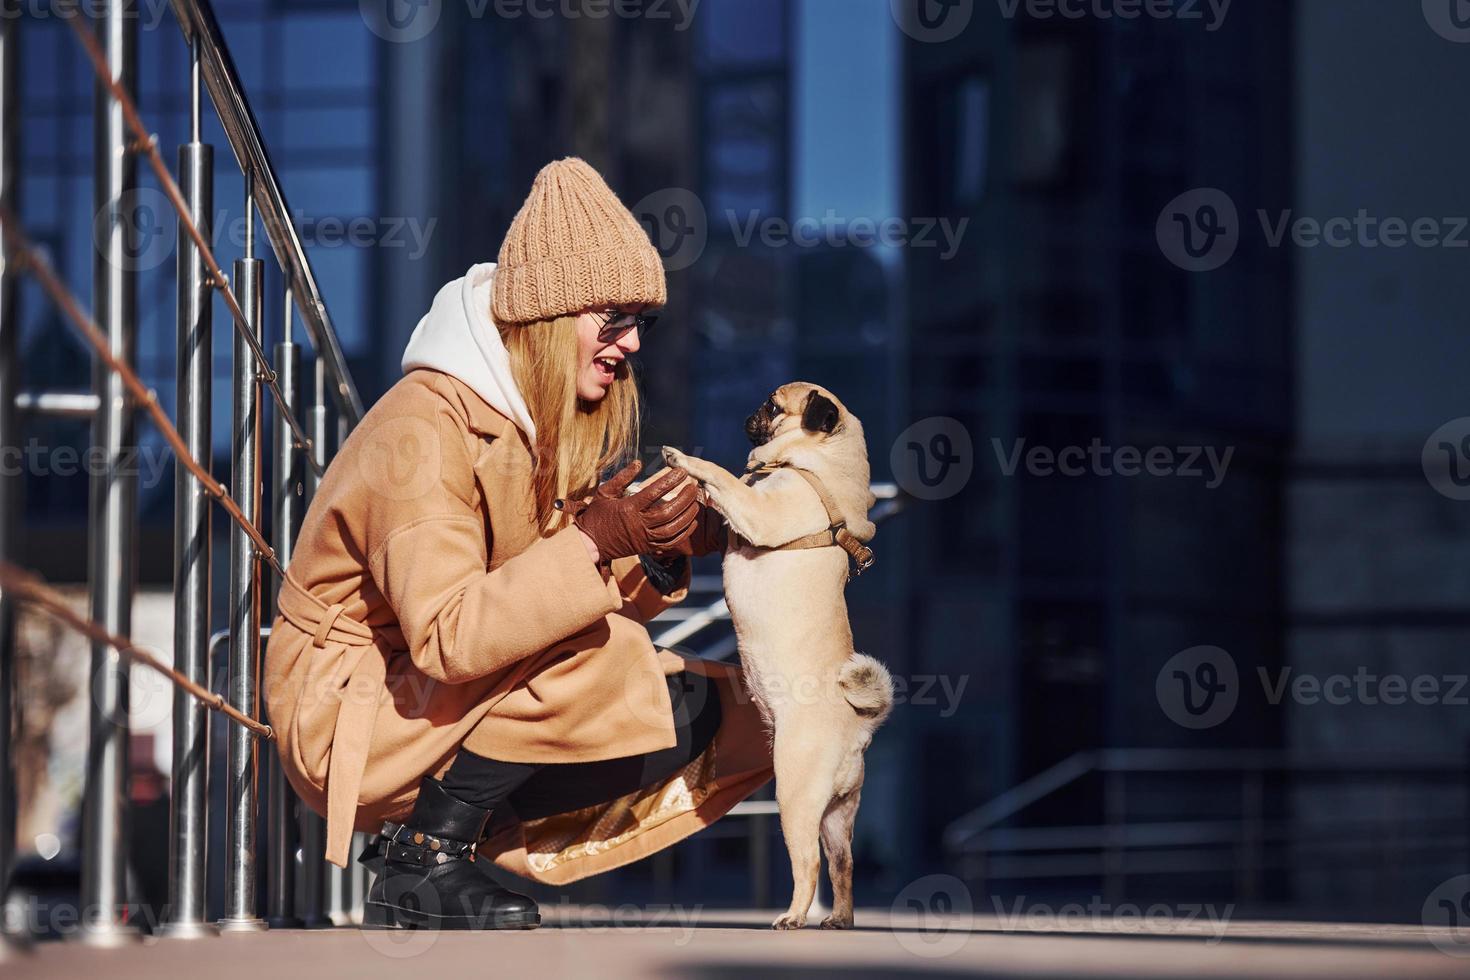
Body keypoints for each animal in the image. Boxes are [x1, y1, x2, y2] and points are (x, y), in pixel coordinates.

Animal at [661, 382, 887, 928]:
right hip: (838, 814)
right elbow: (720, 498)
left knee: (808, 864)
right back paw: (839, 919)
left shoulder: (758, 512)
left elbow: (722, 477)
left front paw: (685, 460)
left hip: (795, 792)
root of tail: (858, 725)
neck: (818, 465)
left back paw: (794, 916)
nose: (749, 414)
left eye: (772, 406)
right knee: (843, 862)